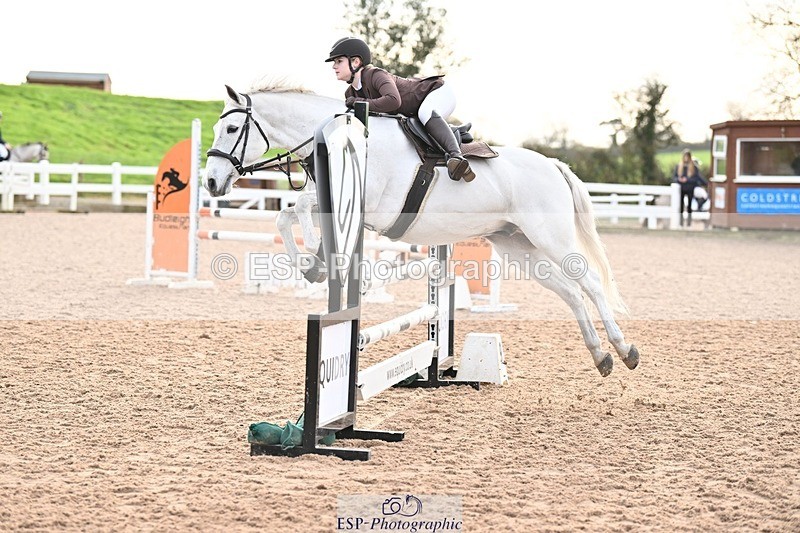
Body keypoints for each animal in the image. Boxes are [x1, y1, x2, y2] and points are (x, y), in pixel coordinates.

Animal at [203, 83, 640, 377]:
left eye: (230, 131)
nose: (210, 182)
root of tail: (553, 164)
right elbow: (286, 216)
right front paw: (312, 265)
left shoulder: (368, 203)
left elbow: (305, 211)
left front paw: (316, 258)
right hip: (519, 246)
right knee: (570, 292)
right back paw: (600, 356)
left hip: (553, 238)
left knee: (590, 282)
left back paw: (624, 349)